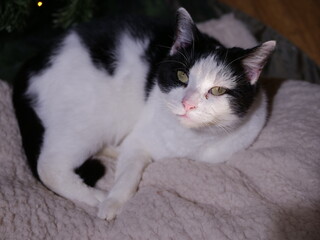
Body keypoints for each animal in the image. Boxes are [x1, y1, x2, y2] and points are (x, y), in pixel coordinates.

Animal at [13, 7, 276, 221]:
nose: (187, 104)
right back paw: (94, 195)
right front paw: (111, 202)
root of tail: (32, 62)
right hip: (91, 118)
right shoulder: (138, 141)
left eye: (218, 90)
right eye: (182, 76)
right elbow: (129, 173)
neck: (189, 140)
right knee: (48, 166)